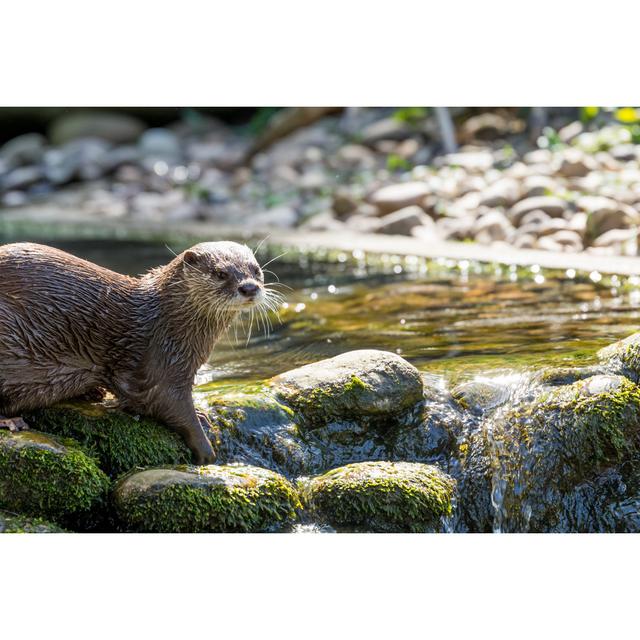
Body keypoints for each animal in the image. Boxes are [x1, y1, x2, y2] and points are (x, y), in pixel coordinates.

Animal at [0, 242, 268, 462]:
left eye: (256, 270)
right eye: (220, 273)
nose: (249, 287)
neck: (168, 319)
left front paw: (202, 415)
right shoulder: (161, 360)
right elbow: (170, 405)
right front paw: (206, 450)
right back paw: (11, 421)